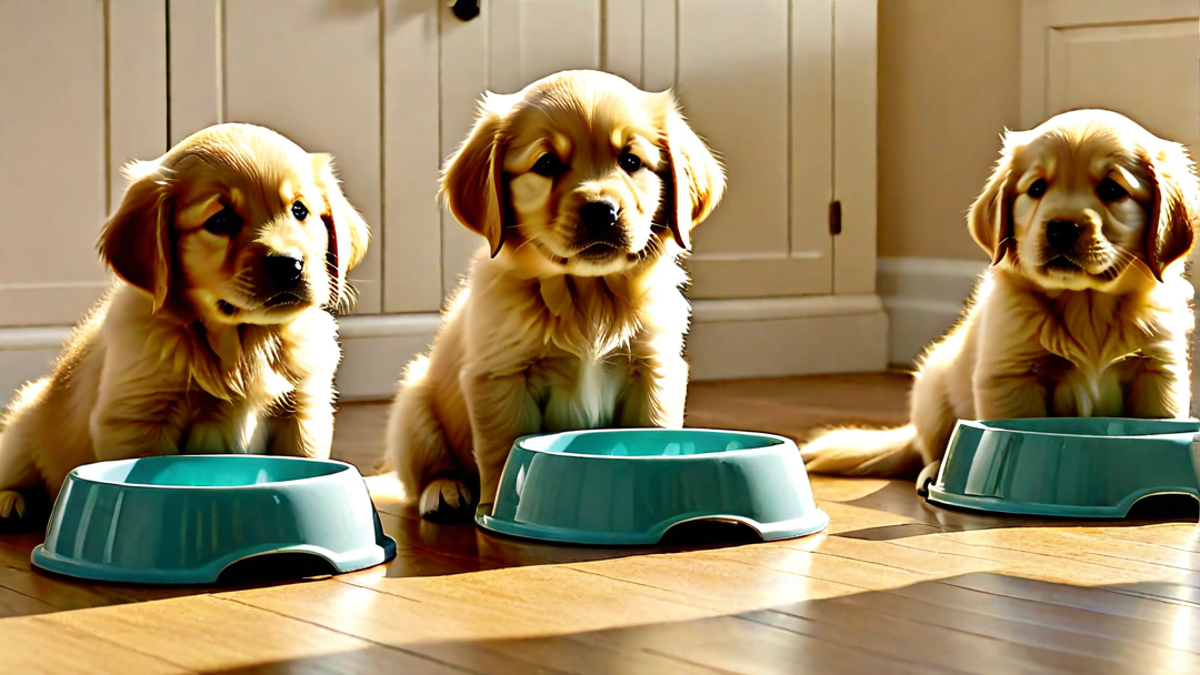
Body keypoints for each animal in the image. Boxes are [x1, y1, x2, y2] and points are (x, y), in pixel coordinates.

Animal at [0, 121, 369, 521]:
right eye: (220, 220)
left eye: (300, 210)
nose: (290, 264)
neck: (244, 343)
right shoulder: (137, 418)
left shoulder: (302, 411)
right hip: (23, 424)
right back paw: (13, 500)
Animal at [386, 68, 720, 516]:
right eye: (546, 163)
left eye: (631, 161)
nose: (601, 211)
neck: (588, 294)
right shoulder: (501, 376)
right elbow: (503, 449)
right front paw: (499, 508)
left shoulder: (654, 368)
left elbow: (651, 433)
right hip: (414, 402)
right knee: (428, 467)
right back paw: (444, 489)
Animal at [796, 109, 1200, 487]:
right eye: (1036, 188)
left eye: (1113, 190)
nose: (1060, 229)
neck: (1085, 303)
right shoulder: (1010, 376)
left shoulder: (1158, 374)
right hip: (932, 385)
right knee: (932, 447)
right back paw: (934, 472)